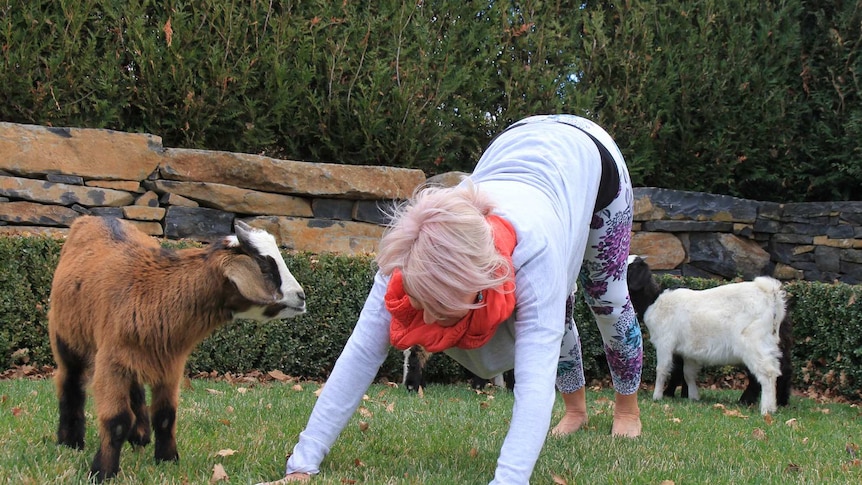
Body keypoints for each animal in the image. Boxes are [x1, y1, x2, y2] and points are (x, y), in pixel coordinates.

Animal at [49, 216, 308, 480]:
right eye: (265, 266)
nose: (301, 297)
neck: (152, 291)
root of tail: (92, 218)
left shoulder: (169, 363)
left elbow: (165, 415)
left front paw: (167, 460)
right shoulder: (111, 363)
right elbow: (117, 420)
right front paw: (103, 472)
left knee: (135, 388)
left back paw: (140, 436)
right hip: (65, 335)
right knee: (70, 381)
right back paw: (70, 441)